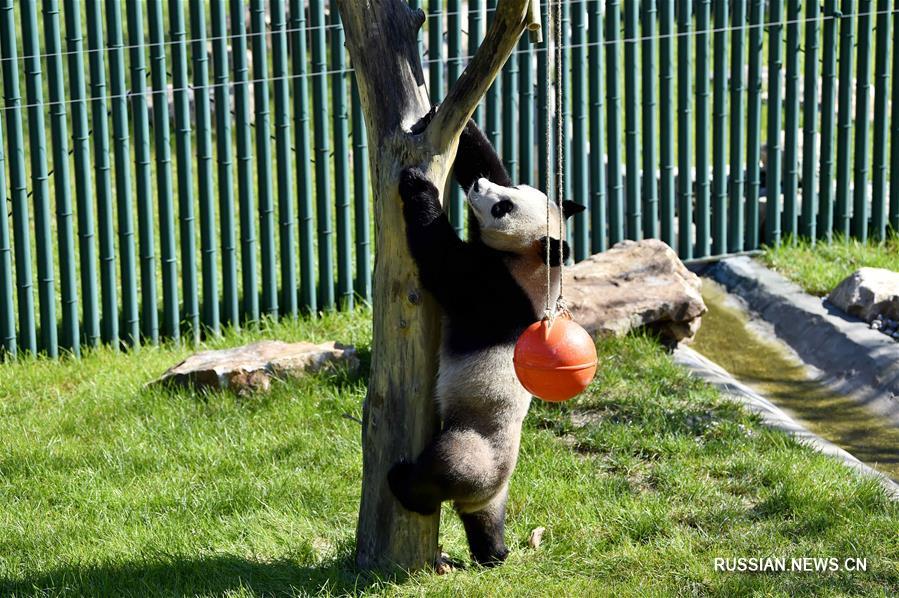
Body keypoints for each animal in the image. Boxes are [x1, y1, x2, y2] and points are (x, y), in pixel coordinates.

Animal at [390, 120, 588, 568]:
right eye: (513, 190)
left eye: (504, 208)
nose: (481, 187)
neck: (531, 263)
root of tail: (488, 490)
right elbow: (484, 156)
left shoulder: (497, 291)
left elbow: (443, 261)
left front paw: (418, 187)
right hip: (492, 493)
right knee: (484, 521)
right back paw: (493, 551)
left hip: (474, 442)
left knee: (445, 467)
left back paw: (405, 484)